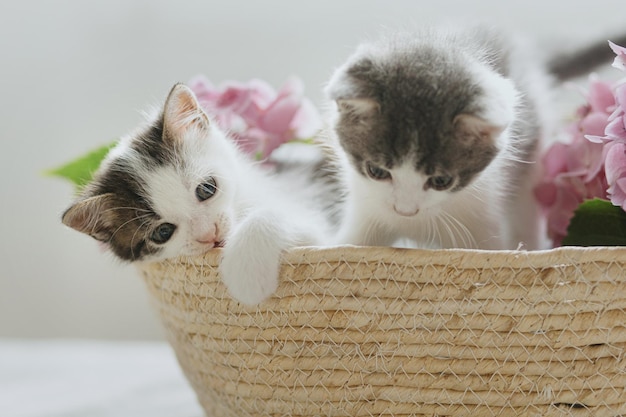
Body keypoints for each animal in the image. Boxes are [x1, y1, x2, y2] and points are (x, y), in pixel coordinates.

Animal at [61, 83, 330, 304]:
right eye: (163, 232)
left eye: (206, 189)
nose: (210, 233)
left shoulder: (318, 223)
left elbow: (276, 215)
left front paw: (247, 274)